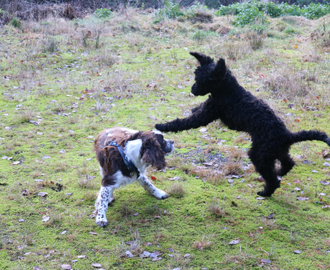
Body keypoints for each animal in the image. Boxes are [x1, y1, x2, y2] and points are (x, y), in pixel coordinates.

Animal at [155, 51, 330, 197]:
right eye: (195, 76)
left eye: (201, 80)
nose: (192, 90)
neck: (228, 90)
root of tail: (287, 135)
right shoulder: (208, 106)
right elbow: (196, 109)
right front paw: (191, 108)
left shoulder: (207, 113)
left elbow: (184, 122)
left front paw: (162, 126)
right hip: (276, 152)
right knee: (288, 163)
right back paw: (280, 171)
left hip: (259, 155)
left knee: (273, 179)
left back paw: (265, 192)